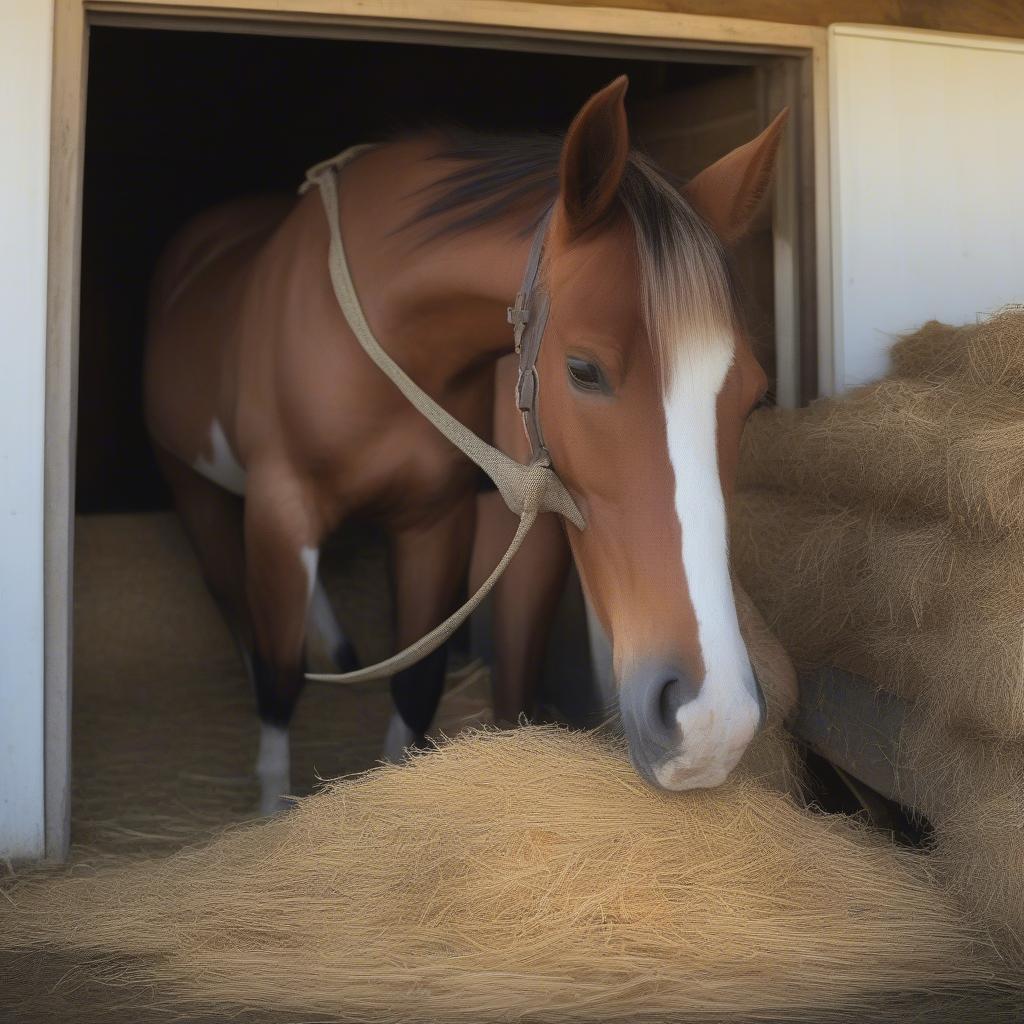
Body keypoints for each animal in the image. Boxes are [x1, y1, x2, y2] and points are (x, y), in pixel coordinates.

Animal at [144, 75, 782, 811]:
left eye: (754, 394)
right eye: (583, 370)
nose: (713, 722)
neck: (378, 339)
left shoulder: (435, 518)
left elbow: (417, 683)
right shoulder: (282, 507)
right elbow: (277, 681)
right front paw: (273, 812)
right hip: (192, 484)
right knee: (232, 599)